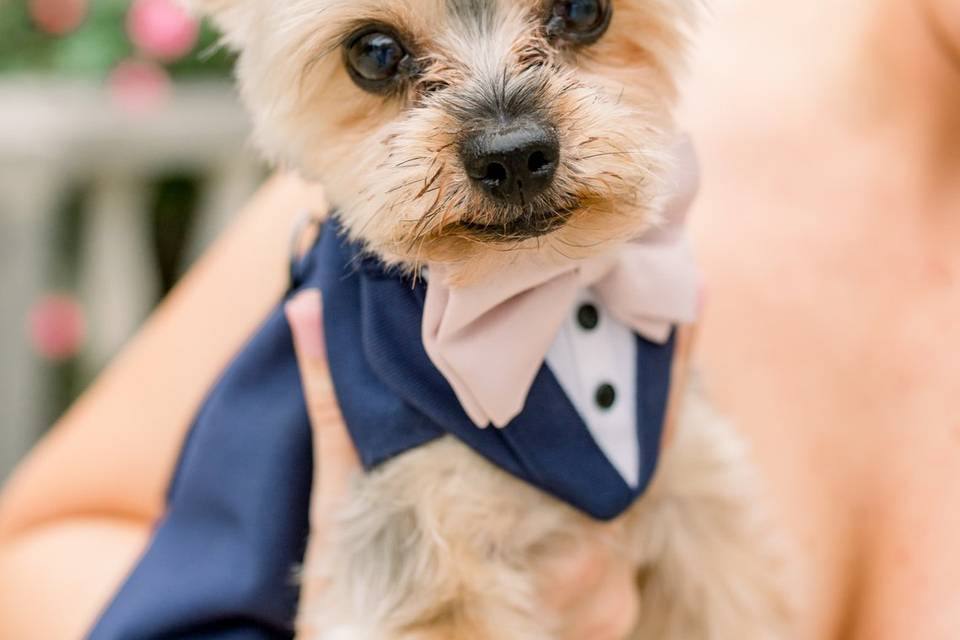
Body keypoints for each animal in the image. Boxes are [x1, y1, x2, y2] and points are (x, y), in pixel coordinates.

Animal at [184, 2, 792, 636]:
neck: (538, 290)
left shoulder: (693, 486)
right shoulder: (420, 536)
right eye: (374, 53)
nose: (513, 154)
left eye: (583, 12)